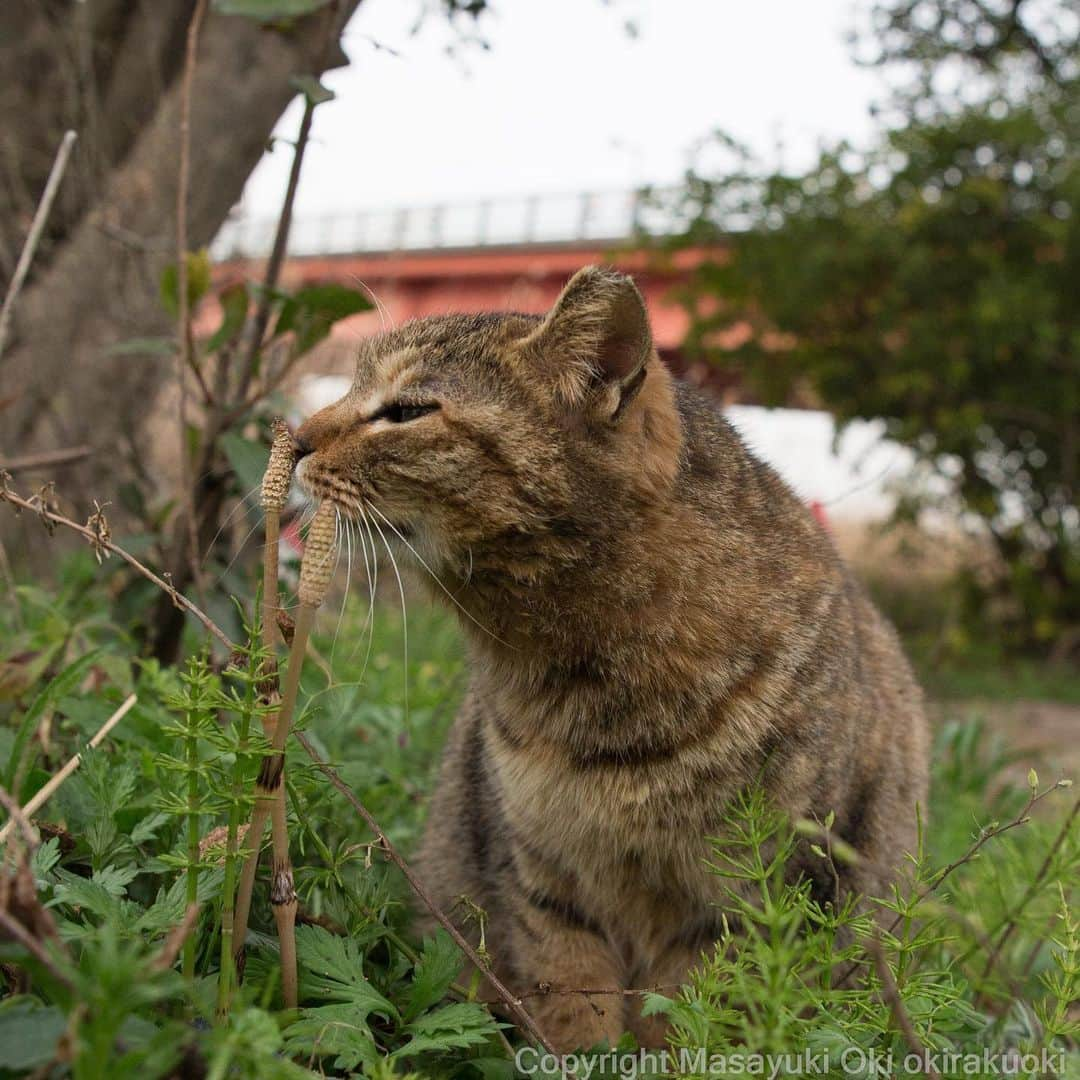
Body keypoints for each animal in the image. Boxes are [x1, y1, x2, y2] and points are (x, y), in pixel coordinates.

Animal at [293, 265, 928, 1049]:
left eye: (407, 410)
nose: (292, 438)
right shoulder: (546, 880)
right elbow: (573, 1008)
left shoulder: (738, 905)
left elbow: (691, 1024)